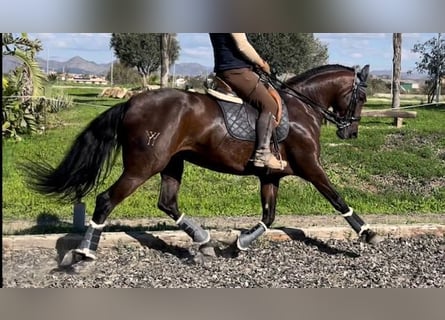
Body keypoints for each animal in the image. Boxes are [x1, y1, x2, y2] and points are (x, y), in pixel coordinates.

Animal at [25, 63, 382, 264]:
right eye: (362, 98)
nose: (350, 131)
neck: (301, 107)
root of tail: (131, 102)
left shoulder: (270, 175)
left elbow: (269, 216)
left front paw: (239, 244)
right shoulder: (310, 166)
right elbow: (337, 198)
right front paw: (367, 234)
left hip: (172, 164)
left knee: (167, 202)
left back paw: (205, 242)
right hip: (143, 166)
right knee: (106, 200)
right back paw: (85, 253)